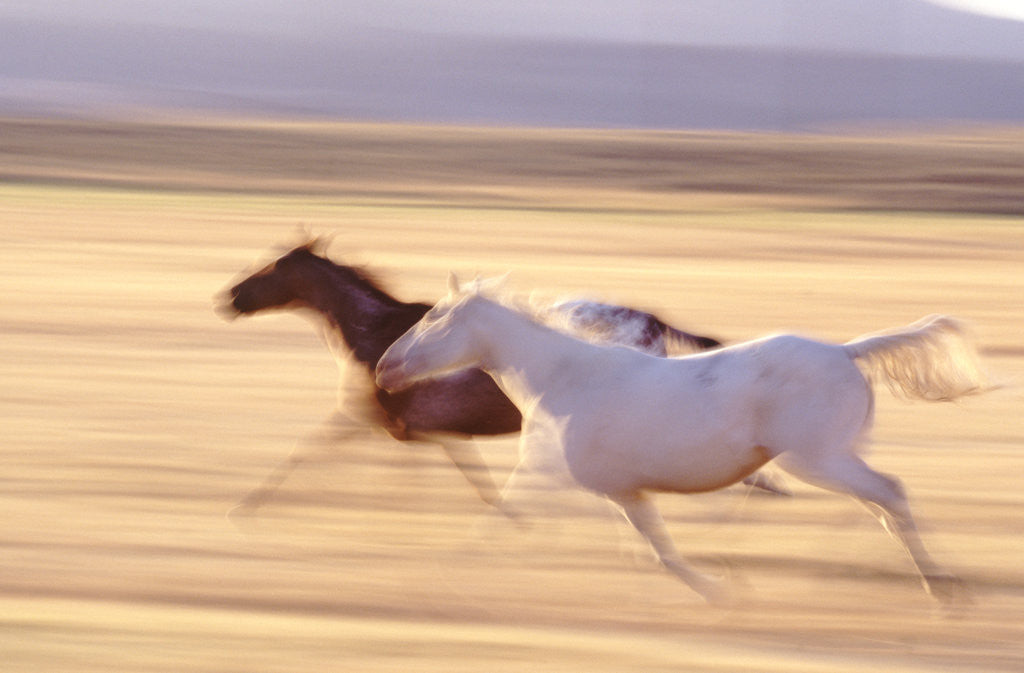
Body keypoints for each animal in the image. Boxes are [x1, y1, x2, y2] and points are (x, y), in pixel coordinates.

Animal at [218, 239, 730, 514]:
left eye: (270, 267)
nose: (229, 297)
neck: (374, 332)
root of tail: (652, 321)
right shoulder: (416, 431)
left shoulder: (403, 425)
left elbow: (305, 453)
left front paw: (244, 507)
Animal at [375, 274, 988, 604]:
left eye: (433, 316)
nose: (385, 368)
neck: (563, 379)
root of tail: (846, 351)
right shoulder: (623, 493)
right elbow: (656, 551)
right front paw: (722, 588)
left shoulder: (543, 476)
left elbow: (493, 525)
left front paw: (433, 582)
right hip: (836, 457)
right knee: (880, 506)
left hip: (817, 461)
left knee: (891, 495)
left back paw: (943, 588)